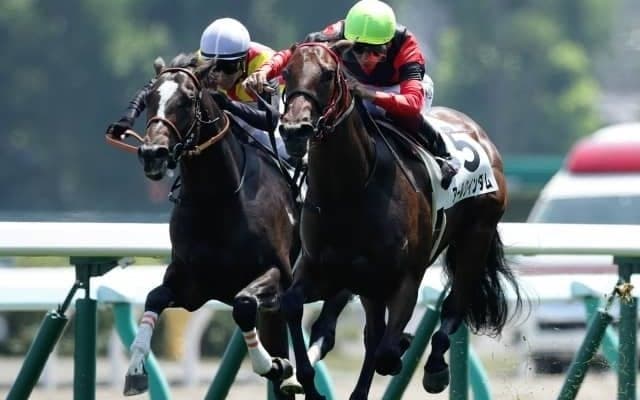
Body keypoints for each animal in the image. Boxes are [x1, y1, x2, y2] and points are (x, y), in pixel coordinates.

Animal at [118, 55, 303, 399]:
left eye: (187, 99)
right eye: (149, 98)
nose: (152, 154)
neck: (216, 202)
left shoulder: (280, 274)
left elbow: (244, 304)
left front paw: (272, 364)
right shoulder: (192, 285)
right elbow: (154, 298)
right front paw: (135, 370)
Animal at [275, 42, 523, 400]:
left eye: (327, 74)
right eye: (286, 71)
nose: (295, 131)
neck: (350, 189)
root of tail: (480, 134)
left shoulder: (404, 279)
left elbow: (387, 352)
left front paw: (405, 347)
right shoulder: (321, 269)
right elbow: (292, 304)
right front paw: (307, 383)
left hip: (476, 237)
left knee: (452, 306)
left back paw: (435, 368)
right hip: (367, 283)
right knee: (372, 334)